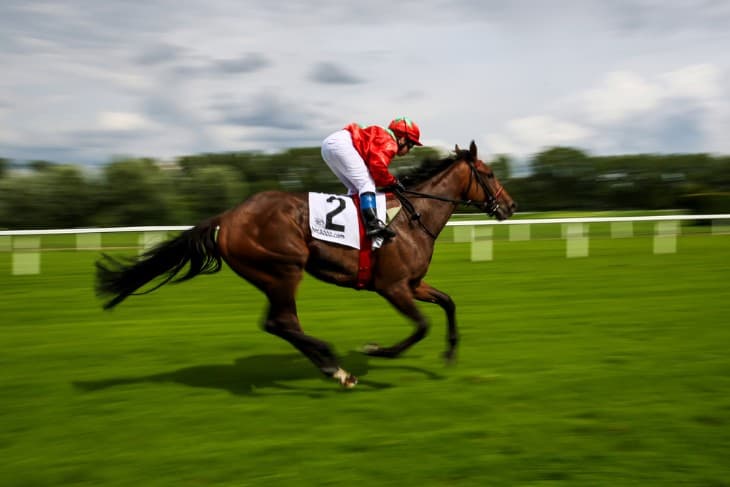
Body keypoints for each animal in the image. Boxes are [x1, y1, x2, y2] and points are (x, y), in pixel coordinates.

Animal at [96, 141, 516, 388]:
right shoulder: (393, 287)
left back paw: (331, 367)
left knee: (282, 324)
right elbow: (421, 325)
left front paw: (450, 354)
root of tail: (226, 217)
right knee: (280, 322)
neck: (414, 218)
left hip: (273, 276)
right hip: (283, 269)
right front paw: (376, 351)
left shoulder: (413, 284)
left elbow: (448, 302)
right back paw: (334, 364)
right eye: (489, 173)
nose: (510, 206)